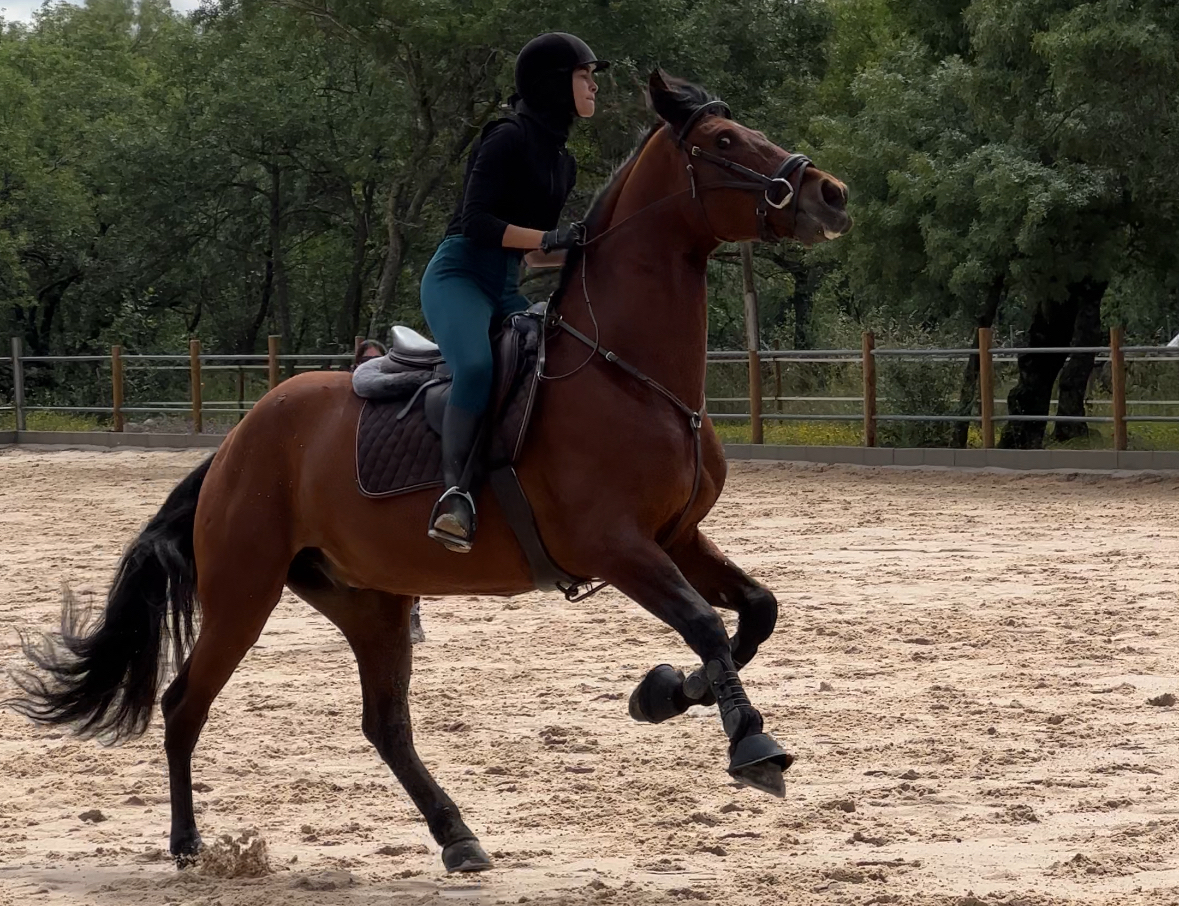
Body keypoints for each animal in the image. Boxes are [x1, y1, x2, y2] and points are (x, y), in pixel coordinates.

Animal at [8, 71, 852, 874]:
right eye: (723, 139)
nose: (829, 193)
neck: (626, 372)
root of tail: (236, 443)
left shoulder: (675, 537)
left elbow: (755, 613)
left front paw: (667, 692)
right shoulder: (616, 545)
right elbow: (707, 623)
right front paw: (750, 744)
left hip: (369, 602)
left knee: (385, 724)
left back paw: (458, 836)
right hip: (244, 592)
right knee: (186, 704)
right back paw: (187, 844)